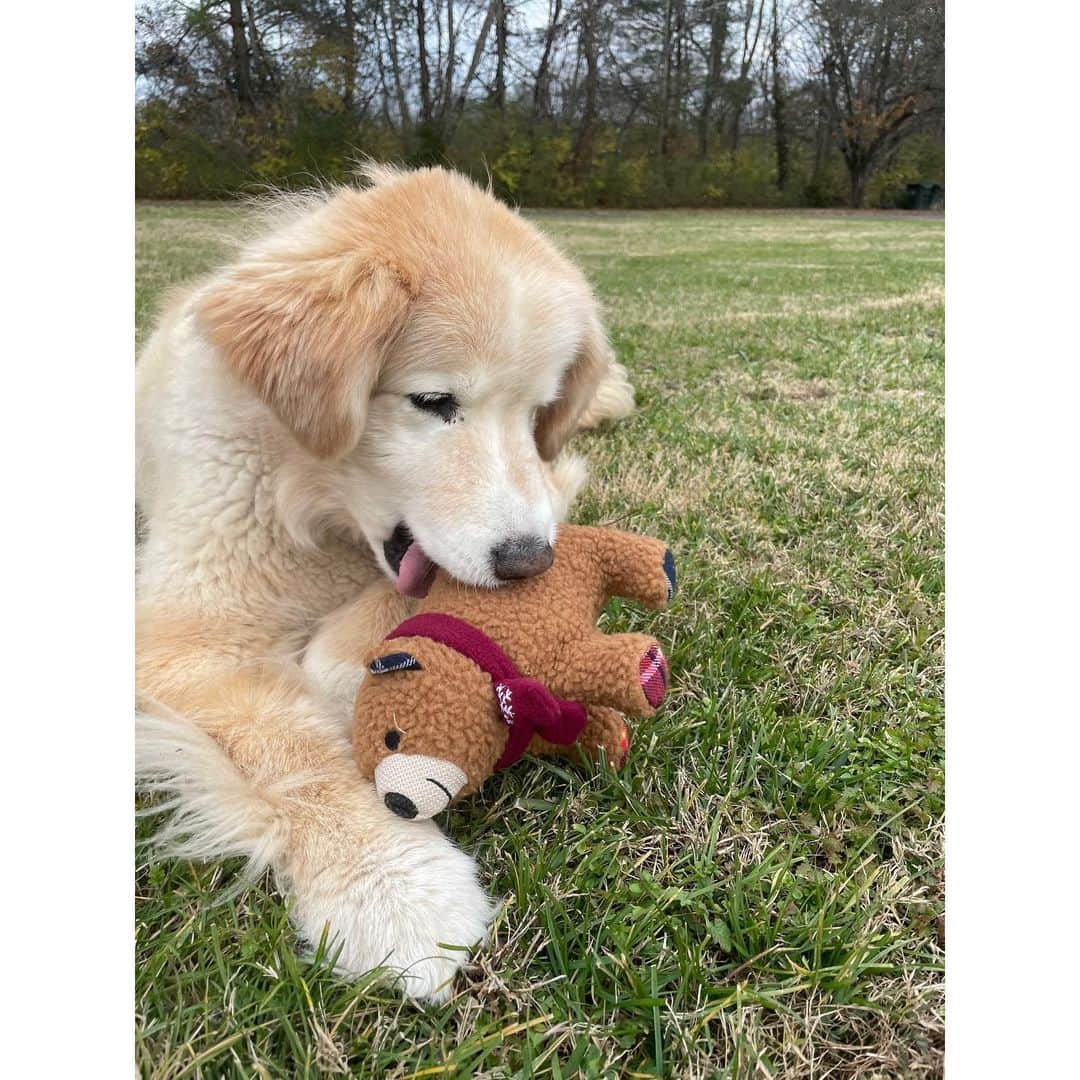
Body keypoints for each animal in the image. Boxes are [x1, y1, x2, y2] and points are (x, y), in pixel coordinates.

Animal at [138, 164, 635, 997]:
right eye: (434, 402)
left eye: (536, 413)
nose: (528, 564)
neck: (313, 503)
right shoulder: (181, 635)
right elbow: (292, 750)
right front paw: (394, 891)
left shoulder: (555, 484)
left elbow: (369, 635)